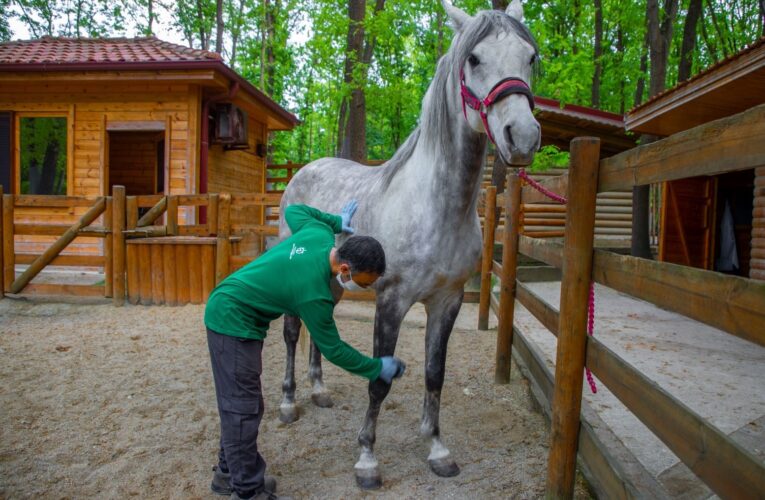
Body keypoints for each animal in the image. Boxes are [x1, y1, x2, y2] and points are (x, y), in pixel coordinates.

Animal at [276, 0, 536, 486]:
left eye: (530, 57)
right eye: (474, 59)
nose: (524, 136)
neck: (436, 207)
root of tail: (303, 171)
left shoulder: (448, 300)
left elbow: (435, 374)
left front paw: (437, 449)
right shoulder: (392, 301)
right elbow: (379, 380)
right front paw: (367, 459)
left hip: (331, 281)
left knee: (318, 328)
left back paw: (319, 391)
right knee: (290, 332)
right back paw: (288, 402)